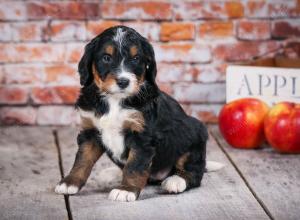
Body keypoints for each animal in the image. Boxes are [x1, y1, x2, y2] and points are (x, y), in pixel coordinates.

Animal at [54, 25, 223, 201]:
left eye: (136, 59)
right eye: (106, 58)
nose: (123, 81)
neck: (115, 100)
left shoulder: (142, 137)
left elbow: (134, 166)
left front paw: (126, 190)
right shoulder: (90, 131)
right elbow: (82, 159)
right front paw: (70, 182)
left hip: (195, 134)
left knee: (194, 172)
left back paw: (175, 181)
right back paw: (112, 173)